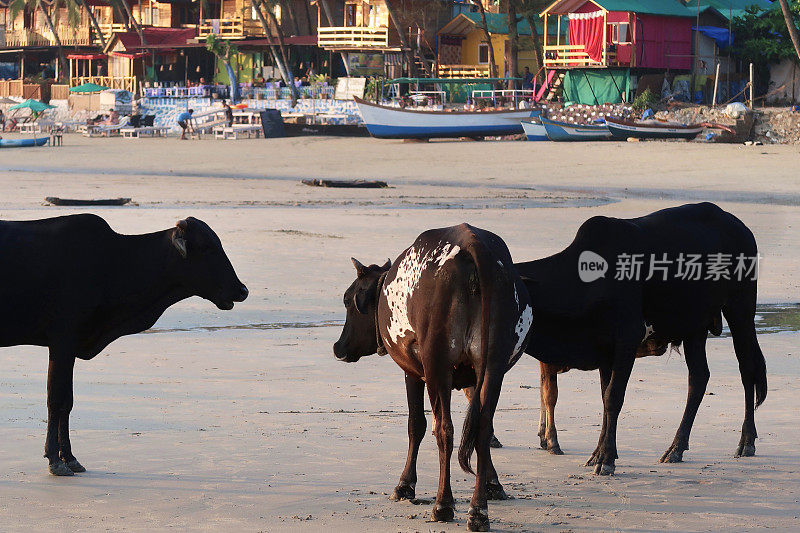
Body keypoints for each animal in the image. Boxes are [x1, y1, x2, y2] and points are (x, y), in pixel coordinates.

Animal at [0, 214, 248, 476]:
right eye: (207, 248)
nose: (242, 290)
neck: (115, 261)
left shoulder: (70, 344)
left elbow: (67, 401)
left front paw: (70, 457)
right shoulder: (62, 339)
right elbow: (56, 399)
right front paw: (55, 460)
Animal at [334, 222, 536, 528]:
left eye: (347, 300)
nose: (338, 347)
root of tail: (473, 244)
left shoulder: (413, 372)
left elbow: (415, 424)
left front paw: (405, 486)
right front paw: (493, 484)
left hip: (436, 365)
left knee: (444, 429)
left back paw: (443, 504)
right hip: (493, 367)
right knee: (482, 427)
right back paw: (478, 510)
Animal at [516, 204, 764, 474]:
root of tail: (740, 226)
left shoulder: (627, 338)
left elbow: (613, 397)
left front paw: (606, 459)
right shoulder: (606, 351)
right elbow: (604, 398)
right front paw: (598, 453)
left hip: (741, 309)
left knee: (748, 370)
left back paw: (746, 441)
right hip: (694, 327)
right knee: (699, 378)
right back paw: (676, 448)